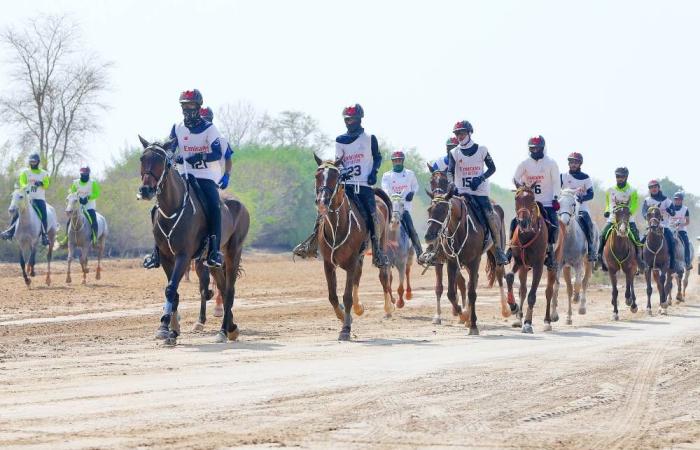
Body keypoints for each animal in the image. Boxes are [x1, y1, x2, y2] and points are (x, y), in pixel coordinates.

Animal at [137, 136, 249, 344]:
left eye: (162, 161)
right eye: (142, 158)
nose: (146, 190)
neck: (172, 208)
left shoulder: (183, 256)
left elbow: (171, 289)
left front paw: (165, 327)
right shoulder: (167, 257)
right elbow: (173, 292)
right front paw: (171, 330)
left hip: (233, 252)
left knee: (229, 290)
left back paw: (223, 331)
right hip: (212, 261)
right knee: (222, 287)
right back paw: (231, 327)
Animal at [312, 155, 394, 342]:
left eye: (335, 177)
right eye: (317, 176)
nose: (322, 202)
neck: (338, 225)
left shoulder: (350, 262)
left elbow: (347, 296)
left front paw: (345, 329)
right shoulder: (328, 264)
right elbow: (333, 296)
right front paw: (343, 316)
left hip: (381, 243)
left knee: (383, 274)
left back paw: (388, 307)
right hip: (360, 257)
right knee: (358, 276)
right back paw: (358, 308)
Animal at [506, 183, 560, 334]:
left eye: (532, 199)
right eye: (516, 198)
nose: (523, 222)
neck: (528, 234)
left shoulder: (538, 266)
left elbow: (532, 295)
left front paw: (528, 323)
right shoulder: (519, 262)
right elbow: (509, 277)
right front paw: (513, 306)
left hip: (552, 267)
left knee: (548, 292)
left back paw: (547, 321)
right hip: (524, 267)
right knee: (523, 290)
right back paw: (518, 318)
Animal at [552, 188, 596, 326]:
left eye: (573, 204)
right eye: (559, 203)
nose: (564, 221)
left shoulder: (578, 264)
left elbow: (578, 283)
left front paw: (576, 299)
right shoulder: (559, 265)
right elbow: (556, 287)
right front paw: (554, 315)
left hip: (588, 262)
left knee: (584, 282)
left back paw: (581, 307)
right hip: (566, 267)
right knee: (569, 289)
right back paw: (569, 317)